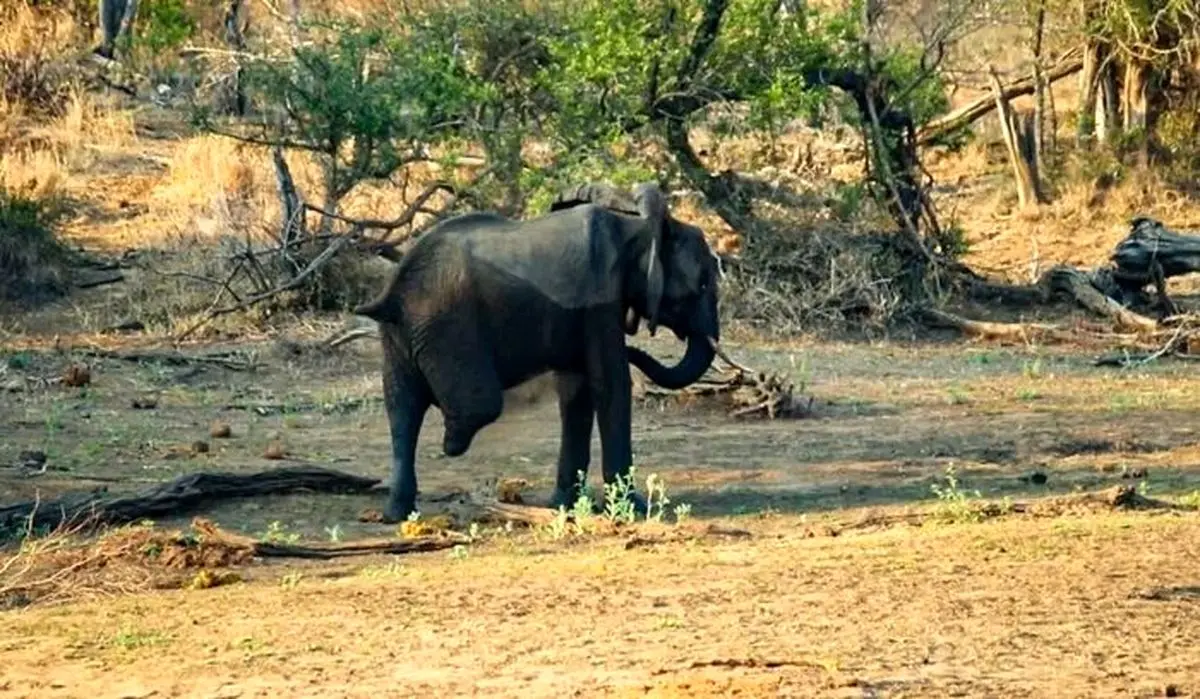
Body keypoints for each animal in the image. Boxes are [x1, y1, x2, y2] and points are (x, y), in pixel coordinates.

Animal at [350, 181, 715, 526]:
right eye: (703, 285)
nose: (636, 347)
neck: (636, 228)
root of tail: (391, 293)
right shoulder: (600, 301)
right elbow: (610, 385)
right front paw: (633, 509)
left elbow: (576, 392)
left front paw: (565, 506)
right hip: (447, 324)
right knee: (475, 404)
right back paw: (450, 444)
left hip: (399, 334)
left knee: (401, 407)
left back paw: (397, 514)